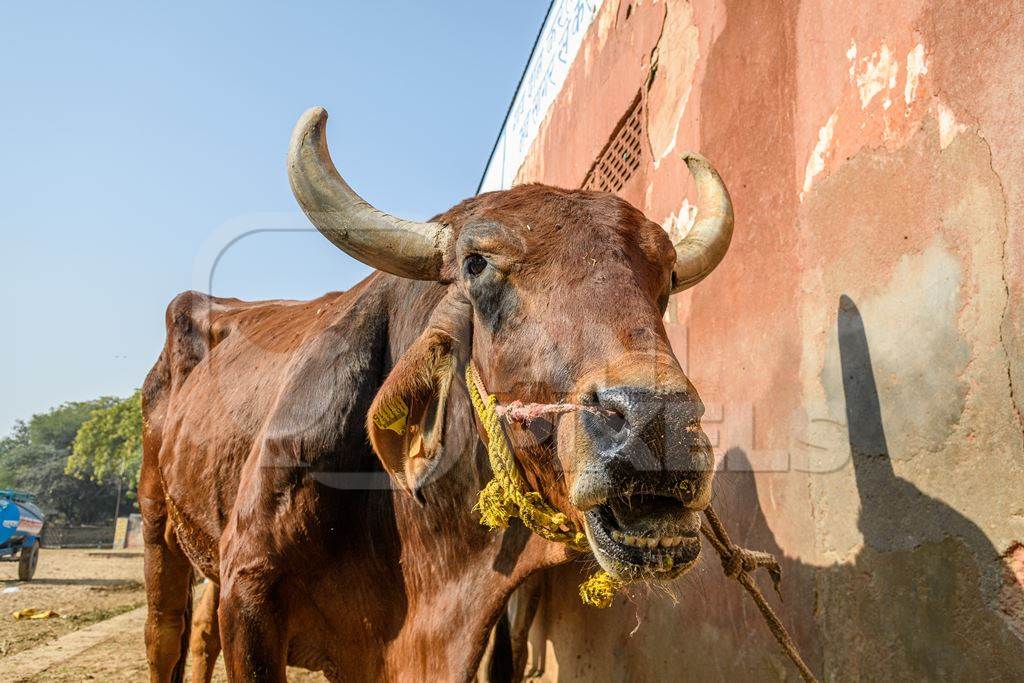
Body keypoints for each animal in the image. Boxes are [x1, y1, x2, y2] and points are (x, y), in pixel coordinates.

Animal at [144, 109, 733, 679]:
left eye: (666, 278)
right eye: (476, 264)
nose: (657, 422)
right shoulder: (249, 592)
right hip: (158, 522)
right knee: (166, 635)